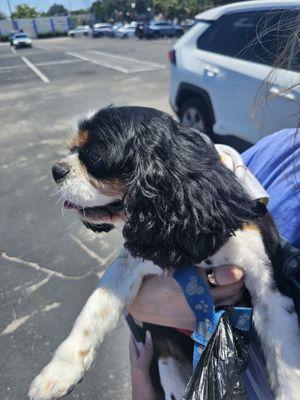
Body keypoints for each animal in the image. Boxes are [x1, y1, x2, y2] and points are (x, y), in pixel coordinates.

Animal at [28, 104, 300, 398]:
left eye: (96, 155)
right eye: (73, 149)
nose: (56, 170)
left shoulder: (269, 283)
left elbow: (286, 355)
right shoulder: (133, 260)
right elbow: (95, 309)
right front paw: (60, 371)